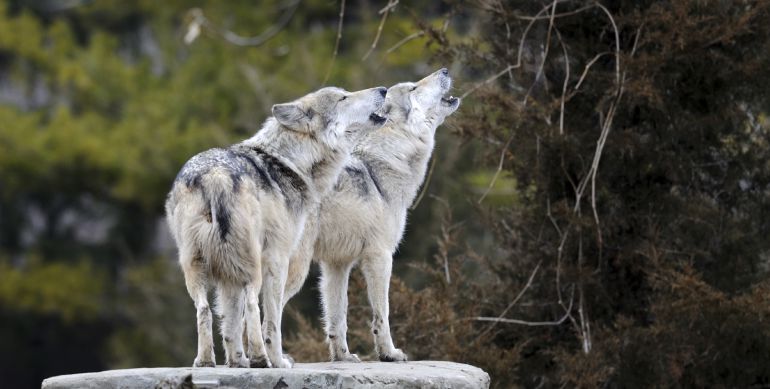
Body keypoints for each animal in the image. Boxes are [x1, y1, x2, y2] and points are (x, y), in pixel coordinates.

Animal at [166, 86, 388, 368]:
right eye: (343, 97)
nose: (383, 89)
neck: (290, 161)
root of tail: (216, 175)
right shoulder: (278, 258)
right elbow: (271, 321)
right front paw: (277, 360)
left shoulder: (228, 276)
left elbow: (230, 325)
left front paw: (237, 362)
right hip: (253, 266)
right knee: (253, 305)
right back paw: (262, 359)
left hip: (197, 266)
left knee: (204, 310)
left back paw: (206, 362)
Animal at [284, 69, 460, 360]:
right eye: (413, 88)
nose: (445, 70)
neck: (385, 162)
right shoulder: (380, 256)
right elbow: (382, 314)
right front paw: (389, 353)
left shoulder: (337, 265)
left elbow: (337, 317)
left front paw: (343, 357)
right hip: (295, 270)